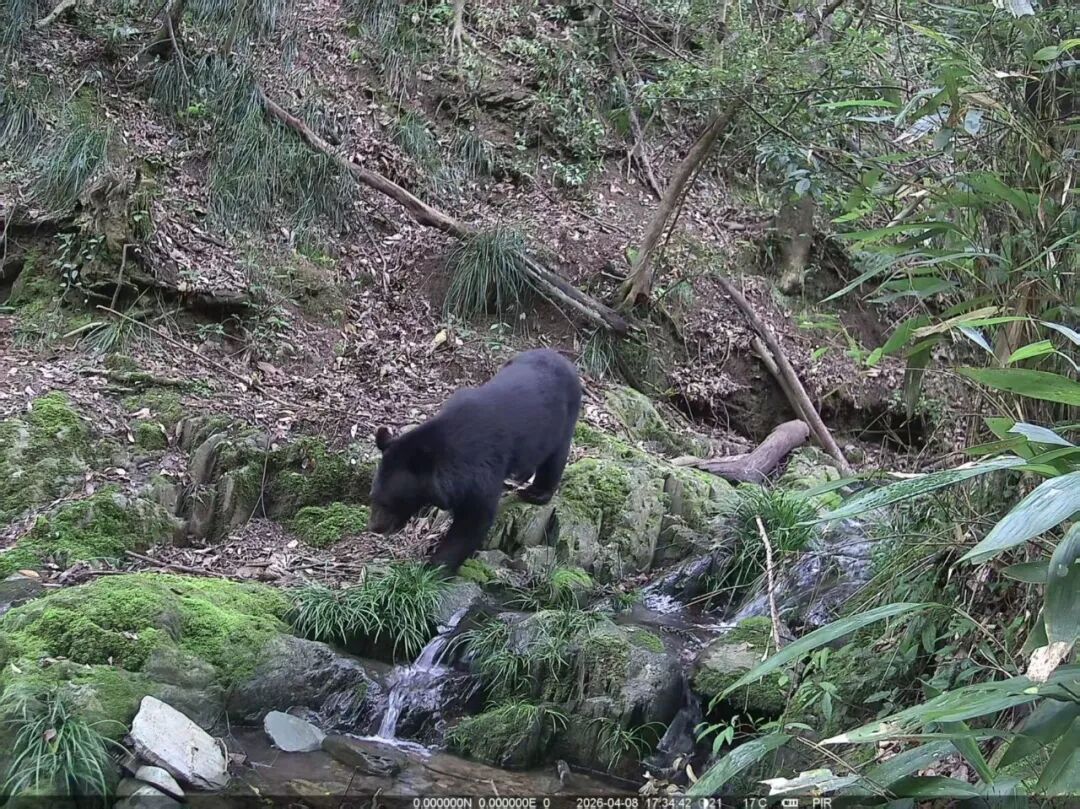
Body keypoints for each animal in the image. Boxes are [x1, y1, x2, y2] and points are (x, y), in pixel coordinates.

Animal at [367, 347, 582, 573]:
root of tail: (563, 358)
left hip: (564, 419)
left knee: (555, 458)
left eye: (388, 503)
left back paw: (536, 493)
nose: (375, 527)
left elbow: (474, 518)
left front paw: (434, 568)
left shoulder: (479, 468)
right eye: (372, 497)